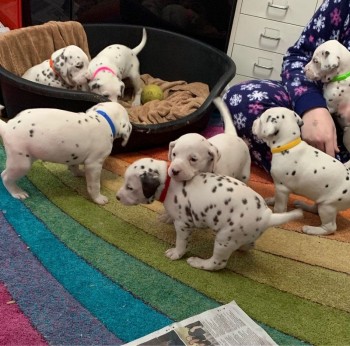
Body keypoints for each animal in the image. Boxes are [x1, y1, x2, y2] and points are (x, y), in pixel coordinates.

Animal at [0, 102, 131, 205]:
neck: (104, 119)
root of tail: (8, 125)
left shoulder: (75, 156)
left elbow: (74, 166)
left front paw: (79, 173)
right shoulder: (94, 164)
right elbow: (94, 185)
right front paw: (98, 198)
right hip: (21, 164)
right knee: (5, 176)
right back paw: (17, 192)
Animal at [116, 157, 302, 270]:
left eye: (130, 187)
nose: (117, 197)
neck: (169, 182)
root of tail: (267, 216)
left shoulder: (183, 225)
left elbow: (181, 243)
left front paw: (176, 253)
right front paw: (165, 216)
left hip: (224, 239)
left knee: (216, 264)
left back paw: (198, 262)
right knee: (249, 245)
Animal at [253, 105, 350, 235]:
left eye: (261, 120)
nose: (253, 122)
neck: (289, 144)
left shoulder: (282, 188)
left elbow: (280, 206)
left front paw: (277, 216)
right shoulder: (279, 189)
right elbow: (276, 198)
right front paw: (271, 200)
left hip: (328, 207)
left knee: (330, 227)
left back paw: (312, 229)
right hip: (322, 201)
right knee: (316, 209)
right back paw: (303, 205)